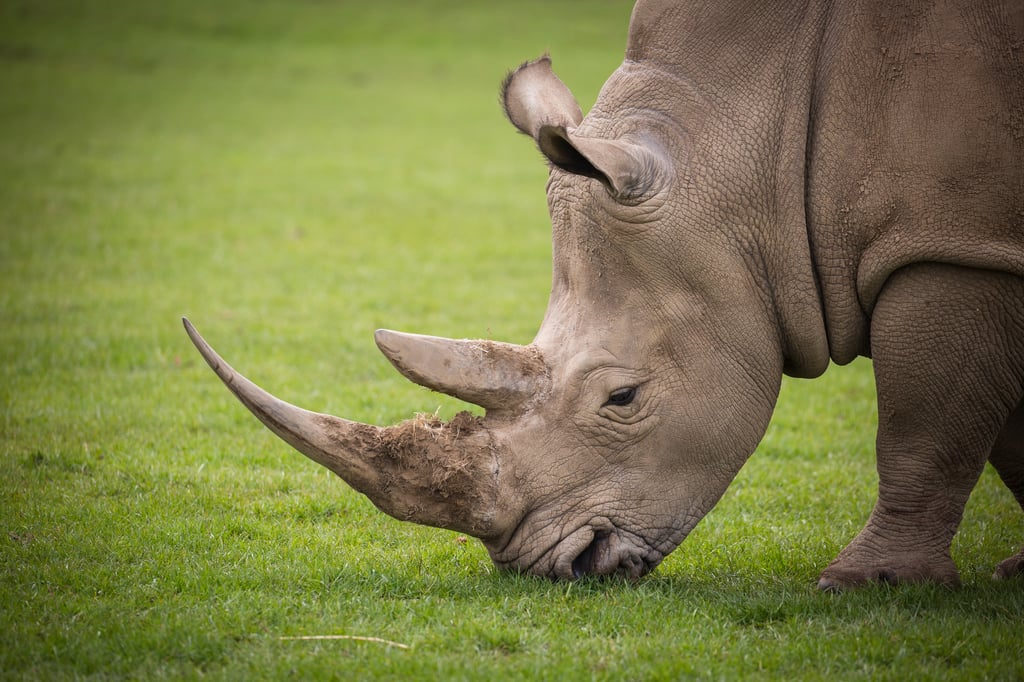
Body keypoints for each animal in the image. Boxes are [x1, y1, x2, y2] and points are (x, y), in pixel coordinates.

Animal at [185, 0, 1024, 589]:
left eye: (623, 398)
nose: (557, 568)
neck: (759, 148)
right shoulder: (987, 244)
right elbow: (995, 418)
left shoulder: (954, 244)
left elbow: (923, 420)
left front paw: (868, 584)